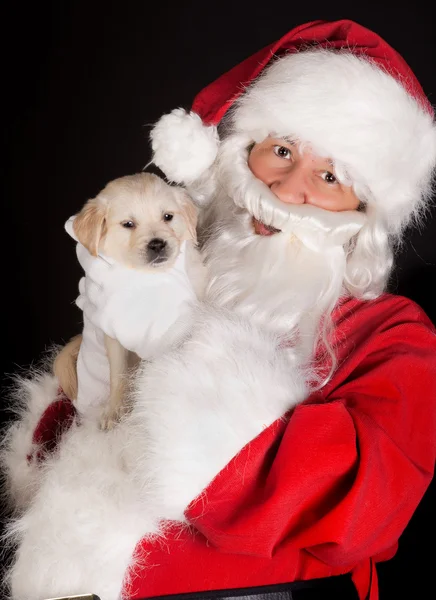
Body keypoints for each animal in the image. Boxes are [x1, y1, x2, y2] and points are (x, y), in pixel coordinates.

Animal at [53, 171, 205, 428]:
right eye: (128, 224)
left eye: (168, 217)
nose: (157, 244)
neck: (149, 278)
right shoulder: (114, 332)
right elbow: (118, 374)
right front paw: (115, 410)